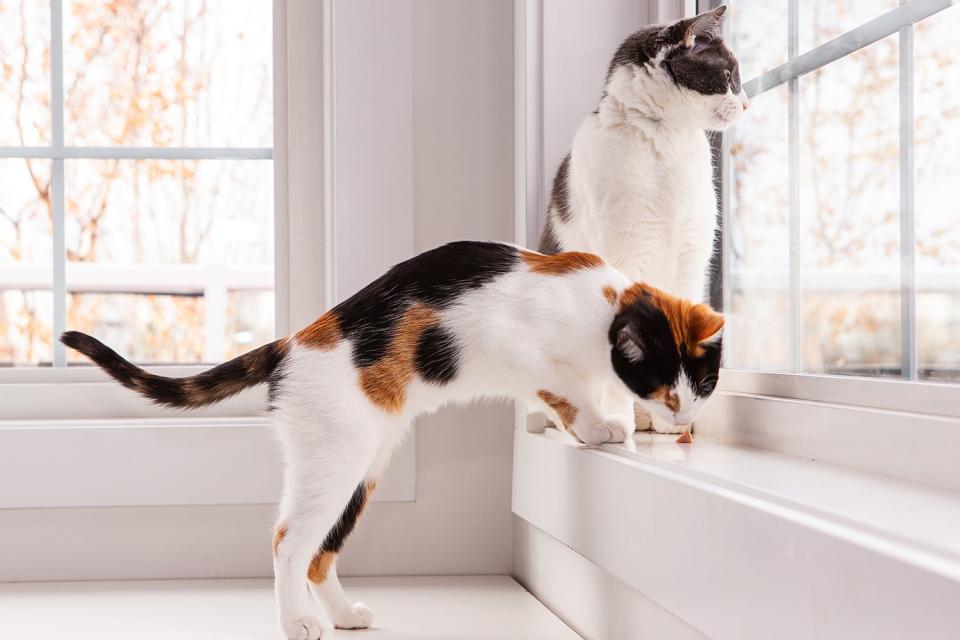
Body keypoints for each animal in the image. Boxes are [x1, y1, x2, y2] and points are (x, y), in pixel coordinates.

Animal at [62, 240, 720, 640]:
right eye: (667, 390)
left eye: (705, 384)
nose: (684, 415)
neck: (603, 305)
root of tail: (288, 343)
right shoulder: (521, 351)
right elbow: (566, 390)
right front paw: (600, 426)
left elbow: (567, 395)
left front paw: (609, 422)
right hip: (335, 463)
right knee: (287, 542)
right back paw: (296, 622)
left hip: (366, 468)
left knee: (320, 554)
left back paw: (342, 615)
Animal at [536, 5, 748, 432]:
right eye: (730, 74)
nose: (748, 103)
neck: (665, 138)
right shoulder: (625, 255)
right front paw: (623, 418)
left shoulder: (691, 258)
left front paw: (673, 420)